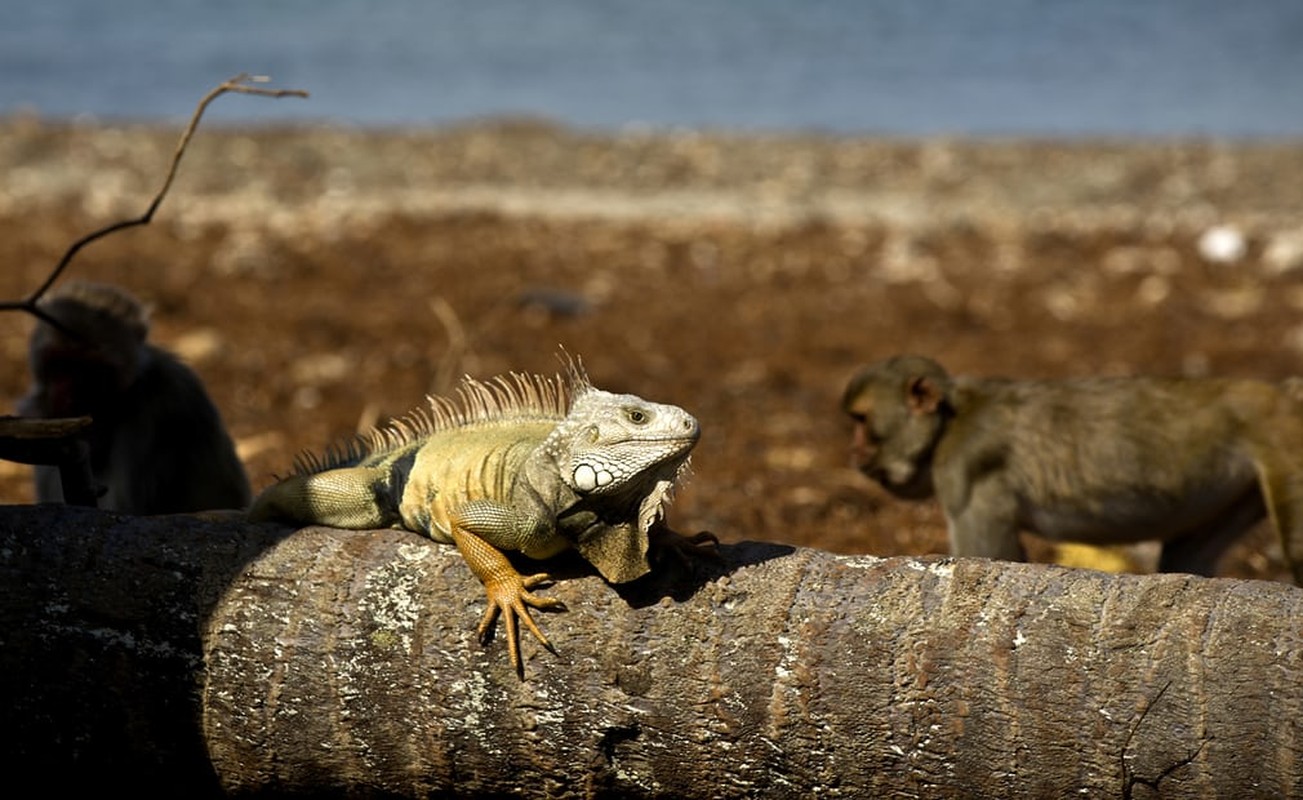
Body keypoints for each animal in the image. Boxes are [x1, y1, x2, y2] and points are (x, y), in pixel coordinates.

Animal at [839, 357, 1303, 583]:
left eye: (861, 421)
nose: (855, 452)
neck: (951, 419)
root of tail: (1282, 393)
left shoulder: (964, 465)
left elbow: (991, 553)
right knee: (1186, 554)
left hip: (1283, 442)